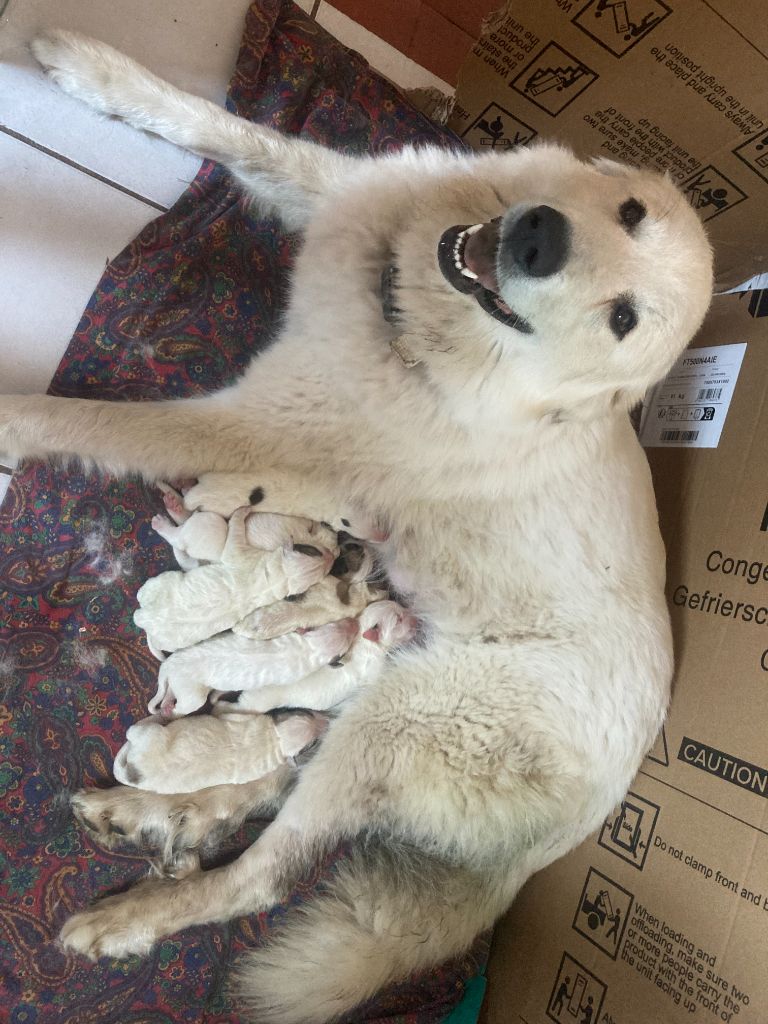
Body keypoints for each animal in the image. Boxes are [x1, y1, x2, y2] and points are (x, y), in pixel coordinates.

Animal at [112, 708, 325, 794]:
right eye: (306, 711)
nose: (326, 721)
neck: (274, 739)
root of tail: (133, 772)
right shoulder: (238, 716)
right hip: (148, 734)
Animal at [135, 507, 333, 659]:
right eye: (312, 550)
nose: (332, 557)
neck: (279, 577)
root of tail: (143, 619)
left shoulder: (239, 553)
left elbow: (235, 529)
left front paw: (242, 510)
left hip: (161, 581)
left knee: (177, 539)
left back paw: (162, 523)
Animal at [152, 610, 364, 716]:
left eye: (336, 624)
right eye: (347, 645)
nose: (355, 623)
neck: (310, 647)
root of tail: (168, 666)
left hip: (179, 683)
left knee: (170, 692)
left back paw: (167, 702)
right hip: (191, 694)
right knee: (185, 706)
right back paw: (170, 711)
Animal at [217, 598, 421, 712]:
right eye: (399, 620)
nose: (418, 619)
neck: (364, 640)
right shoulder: (374, 669)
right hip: (258, 702)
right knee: (240, 707)